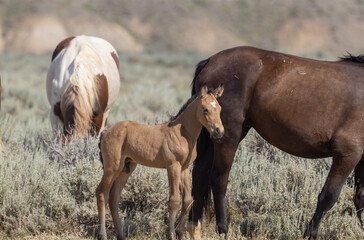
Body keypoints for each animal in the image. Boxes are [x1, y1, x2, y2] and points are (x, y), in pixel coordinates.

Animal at [95, 85, 223, 240]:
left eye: (219, 108)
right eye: (205, 109)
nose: (219, 131)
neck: (182, 133)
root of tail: (105, 132)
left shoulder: (184, 168)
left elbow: (187, 200)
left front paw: (180, 232)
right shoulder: (173, 166)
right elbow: (174, 201)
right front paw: (172, 234)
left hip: (126, 168)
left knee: (114, 197)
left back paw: (121, 235)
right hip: (112, 167)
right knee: (102, 193)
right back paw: (102, 235)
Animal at [186, 46, 364, 239]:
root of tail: (210, 61)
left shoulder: (361, 158)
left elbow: (360, 197)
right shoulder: (347, 153)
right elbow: (329, 196)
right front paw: (310, 233)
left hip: (214, 134)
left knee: (200, 175)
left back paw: (192, 227)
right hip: (228, 136)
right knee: (218, 179)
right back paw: (223, 230)